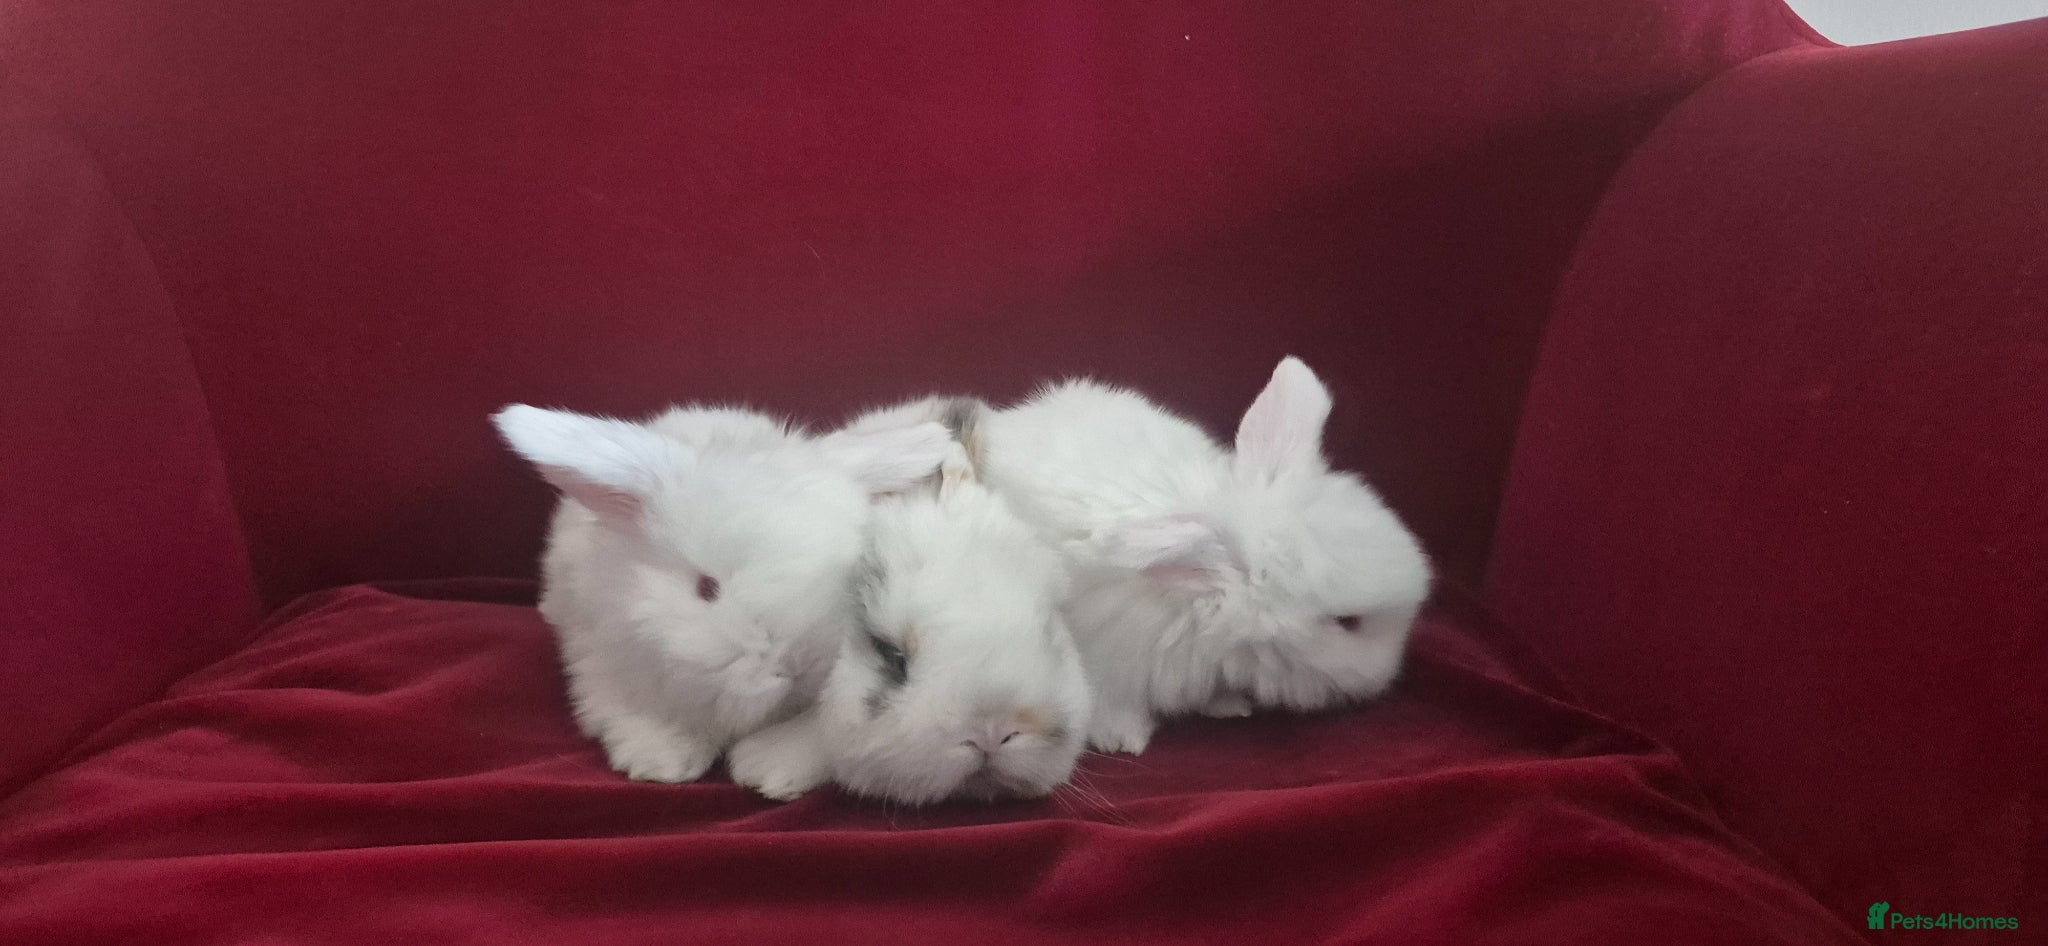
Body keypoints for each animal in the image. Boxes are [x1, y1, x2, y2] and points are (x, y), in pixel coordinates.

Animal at [491, 402, 954, 784]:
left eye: (843, 575)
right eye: (706, 589)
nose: (798, 663)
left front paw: (768, 773)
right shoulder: (600, 660)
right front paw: (663, 761)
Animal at [972, 356, 1433, 755]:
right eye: (1347, 622)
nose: (1386, 678)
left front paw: (1229, 706)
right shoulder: (1108, 662)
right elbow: (1112, 705)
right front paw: (1121, 740)